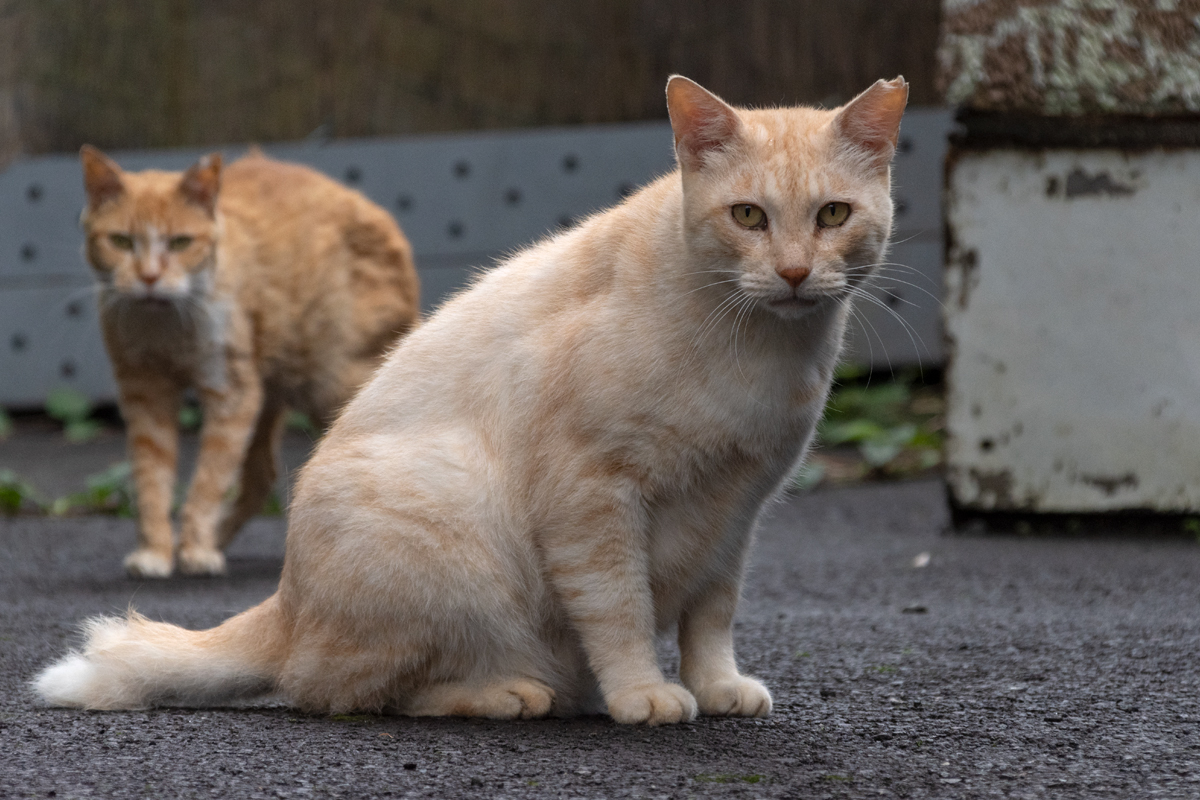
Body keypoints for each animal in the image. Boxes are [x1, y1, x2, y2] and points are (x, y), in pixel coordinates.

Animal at [76, 146, 422, 578]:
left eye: (180, 242)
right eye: (121, 242)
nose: (149, 277)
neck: (165, 326)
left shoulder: (231, 392)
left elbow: (209, 478)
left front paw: (195, 548)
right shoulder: (145, 393)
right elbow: (151, 478)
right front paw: (158, 550)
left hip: (335, 387)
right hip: (271, 392)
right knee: (262, 477)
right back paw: (222, 537)